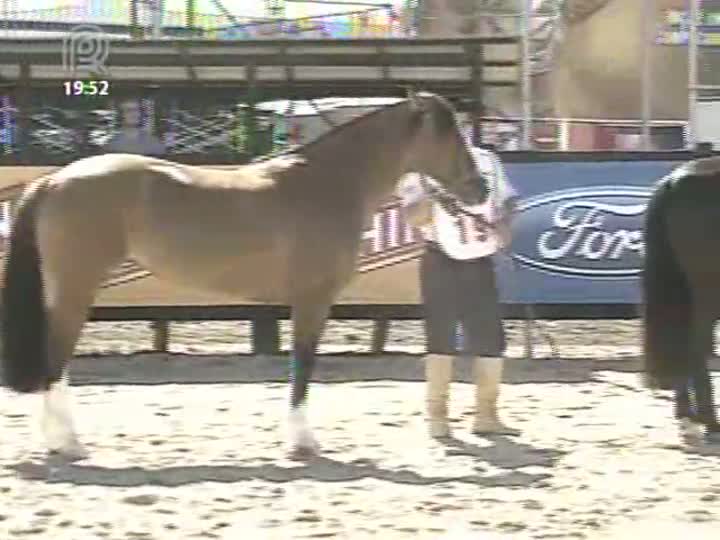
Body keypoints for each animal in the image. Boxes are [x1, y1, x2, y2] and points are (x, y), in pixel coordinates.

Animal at [1, 92, 490, 460]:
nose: (481, 188)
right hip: (75, 289)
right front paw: (302, 442)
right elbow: (303, 366)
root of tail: (54, 180)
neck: (329, 183)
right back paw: (68, 444)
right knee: (55, 358)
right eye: (449, 134)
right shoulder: (313, 299)